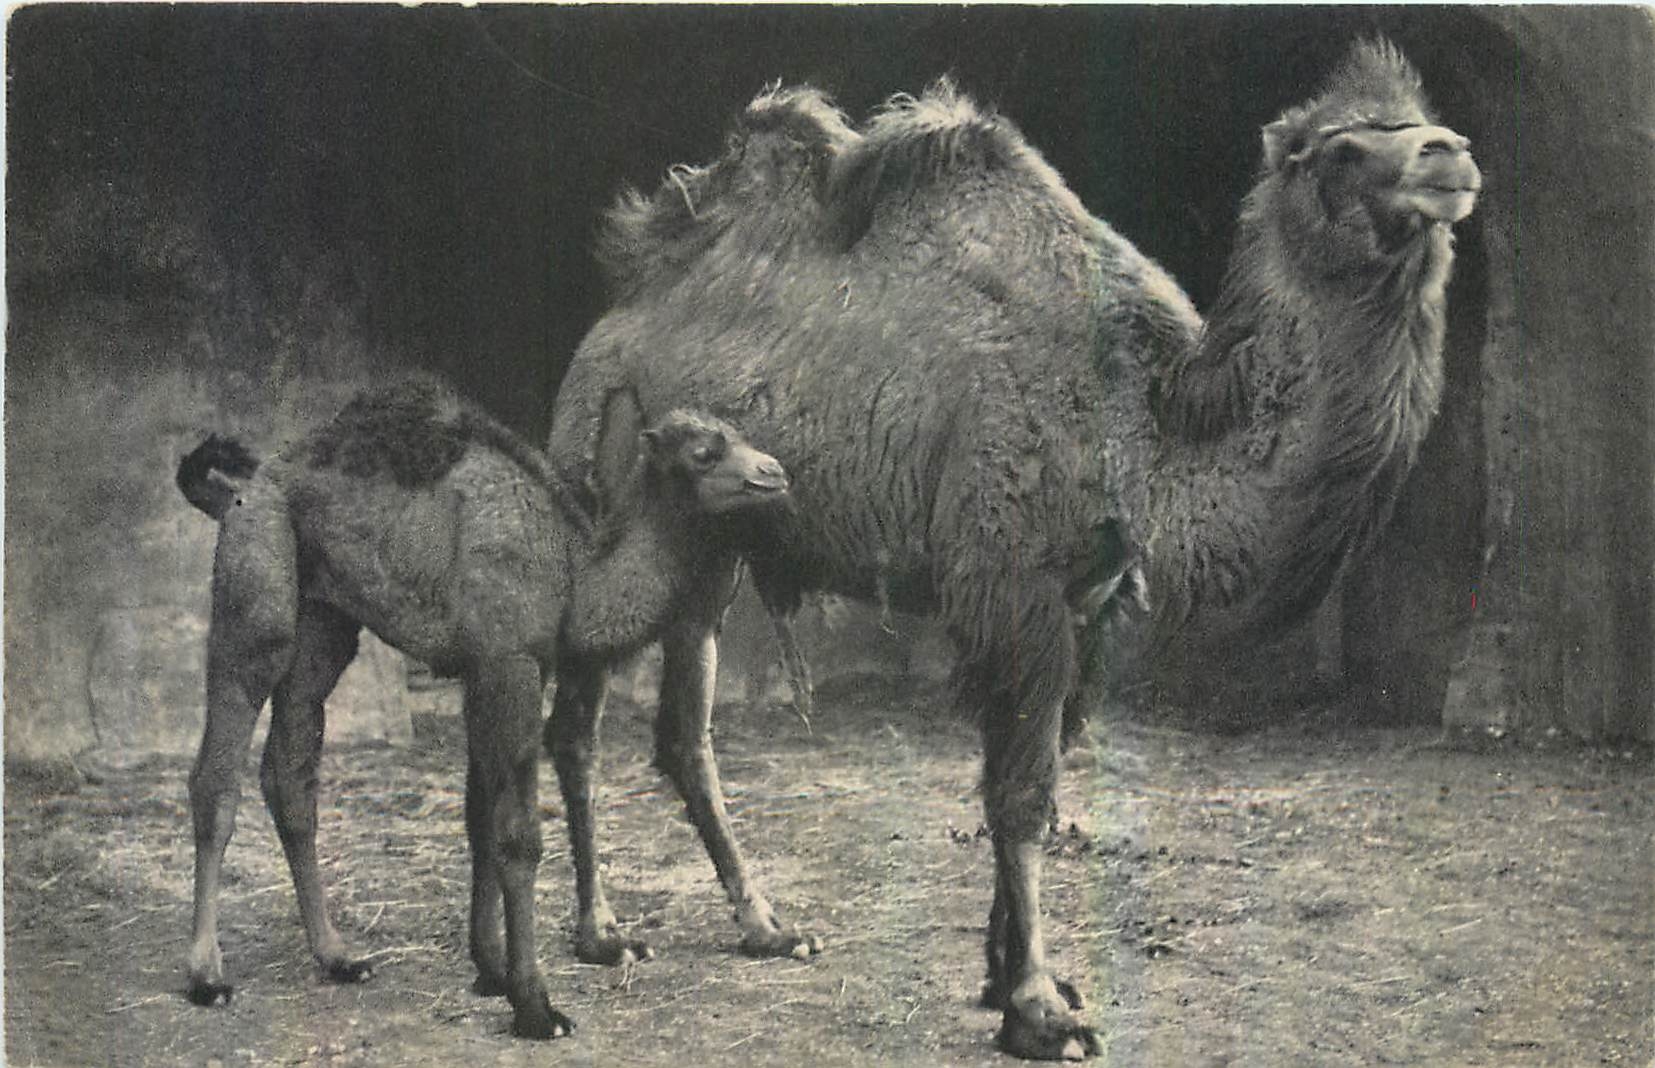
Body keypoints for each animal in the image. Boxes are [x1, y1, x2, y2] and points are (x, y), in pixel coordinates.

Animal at [178, 377, 789, 1041]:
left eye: (740, 435)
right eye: (704, 452)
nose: (774, 472)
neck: (572, 572)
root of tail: (247, 486)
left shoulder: (493, 671)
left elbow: (479, 818)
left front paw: (491, 969)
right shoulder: (508, 663)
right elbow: (518, 836)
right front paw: (535, 1006)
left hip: (325, 623)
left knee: (291, 772)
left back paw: (338, 957)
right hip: (256, 578)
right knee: (218, 770)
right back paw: (207, 975)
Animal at [543, 40, 1478, 1060]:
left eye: (1421, 119)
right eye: (1340, 148)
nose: (1450, 156)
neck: (1142, 428)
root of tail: (610, 321)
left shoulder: (1090, 598)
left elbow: (1033, 777)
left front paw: (1010, 979)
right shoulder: (1011, 582)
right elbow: (1022, 793)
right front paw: (1039, 1010)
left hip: (712, 544)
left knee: (683, 733)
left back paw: (767, 927)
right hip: (603, 484)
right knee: (577, 720)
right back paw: (600, 936)